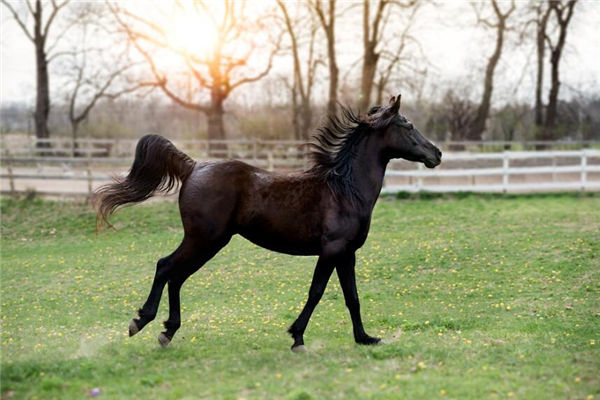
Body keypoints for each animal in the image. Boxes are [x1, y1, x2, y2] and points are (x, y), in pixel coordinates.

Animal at [95, 95, 440, 352]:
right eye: (408, 125)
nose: (436, 154)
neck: (345, 190)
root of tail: (193, 167)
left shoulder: (347, 254)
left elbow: (351, 296)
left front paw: (365, 338)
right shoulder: (331, 250)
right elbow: (316, 292)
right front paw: (297, 337)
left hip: (206, 241)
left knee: (176, 275)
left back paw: (167, 331)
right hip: (204, 239)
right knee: (166, 267)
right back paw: (141, 322)